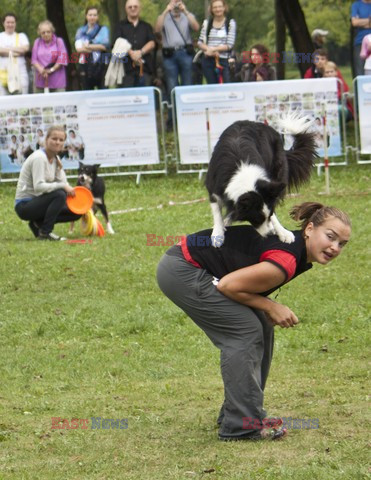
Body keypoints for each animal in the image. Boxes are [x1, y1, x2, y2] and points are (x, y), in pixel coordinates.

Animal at [205, 113, 318, 248]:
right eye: (257, 219)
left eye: (267, 216)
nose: (270, 234)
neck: (242, 173)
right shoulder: (213, 186)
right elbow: (217, 211)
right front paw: (218, 233)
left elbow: (272, 212)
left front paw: (281, 231)